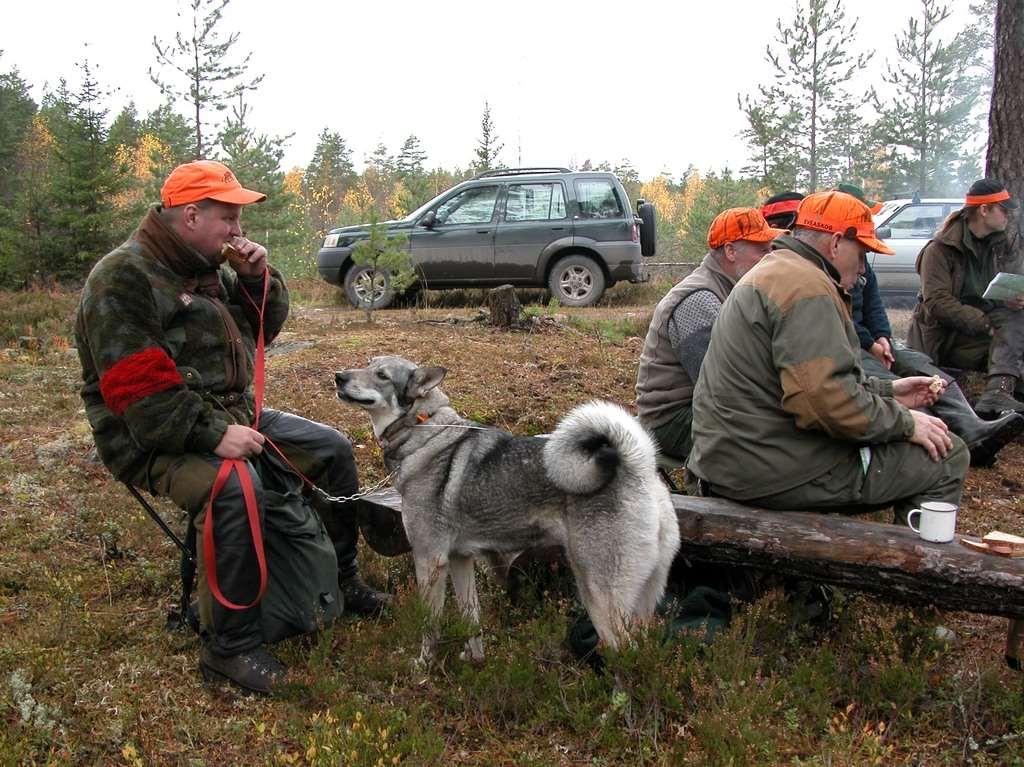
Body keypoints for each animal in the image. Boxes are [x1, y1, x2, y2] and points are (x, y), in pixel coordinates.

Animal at [337, 356, 679, 659]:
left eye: (381, 375)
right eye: (368, 364)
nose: (339, 376)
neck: (423, 428)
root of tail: (639, 467)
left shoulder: (430, 560)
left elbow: (429, 625)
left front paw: (423, 666)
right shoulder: (460, 559)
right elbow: (470, 620)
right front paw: (473, 660)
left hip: (599, 594)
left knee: (627, 656)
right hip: (641, 600)